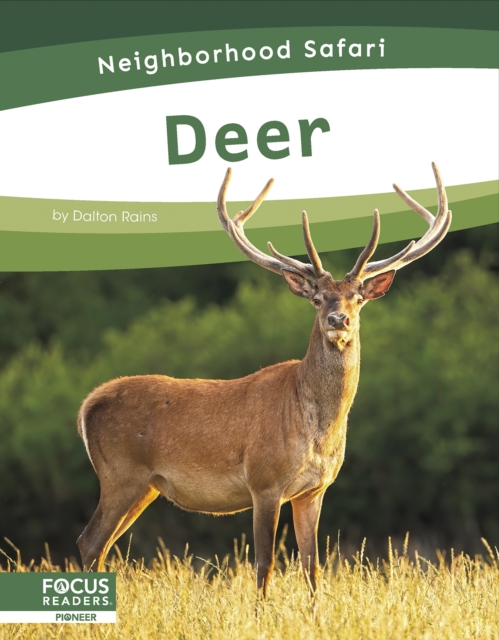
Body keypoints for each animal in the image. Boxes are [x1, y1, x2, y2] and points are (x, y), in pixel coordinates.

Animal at [77, 163, 451, 597]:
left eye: (358, 298)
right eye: (317, 298)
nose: (338, 320)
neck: (317, 430)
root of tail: (87, 406)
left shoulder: (314, 490)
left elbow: (312, 566)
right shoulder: (264, 481)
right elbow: (264, 564)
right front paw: (260, 609)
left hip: (146, 485)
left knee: (101, 545)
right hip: (121, 474)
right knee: (89, 541)